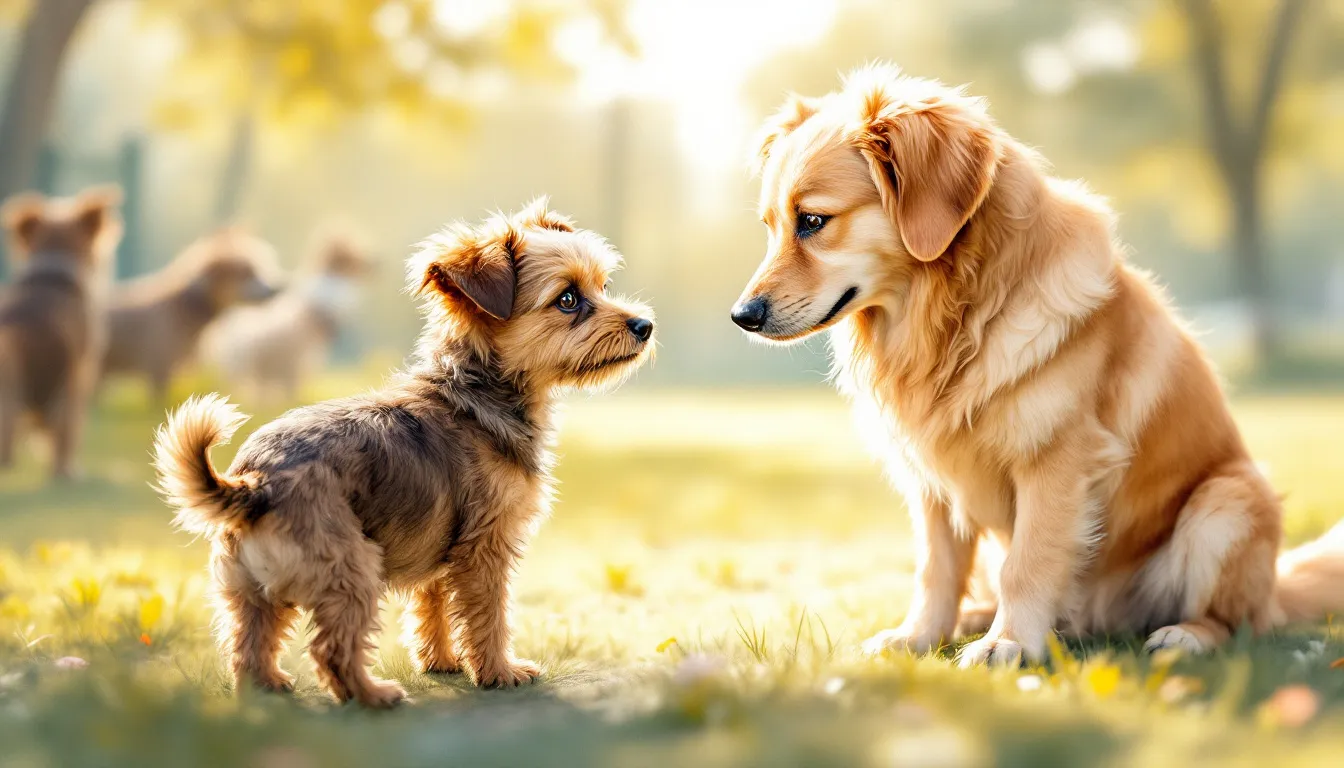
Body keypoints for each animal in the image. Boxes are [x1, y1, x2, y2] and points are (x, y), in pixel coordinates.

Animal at [152, 200, 655, 710]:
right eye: (568, 299)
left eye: (603, 287)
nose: (644, 326)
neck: (474, 393)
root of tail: (255, 484)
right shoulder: (485, 550)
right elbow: (489, 616)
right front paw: (499, 671)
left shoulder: (440, 551)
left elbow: (433, 609)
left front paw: (442, 663)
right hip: (353, 570)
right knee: (331, 649)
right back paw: (374, 695)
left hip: (248, 589)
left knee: (248, 643)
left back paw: (267, 689)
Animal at [736, 64, 1344, 667]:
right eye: (770, 225)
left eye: (813, 220)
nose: (743, 316)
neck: (956, 316)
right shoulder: (931, 481)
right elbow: (935, 570)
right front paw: (917, 637)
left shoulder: (1057, 460)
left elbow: (1028, 565)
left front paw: (1008, 643)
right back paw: (975, 617)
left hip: (1226, 502)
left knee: (1240, 623)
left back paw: (1184, 635)